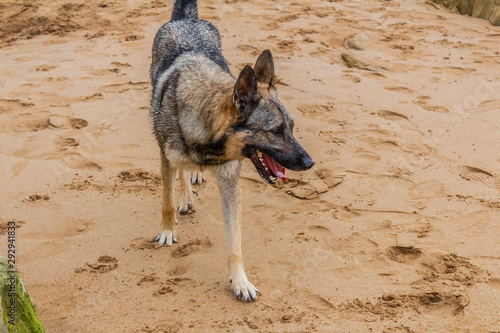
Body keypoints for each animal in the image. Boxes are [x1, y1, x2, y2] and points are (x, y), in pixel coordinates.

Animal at [148, 0, 314, 300]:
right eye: (275, 131)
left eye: (292, 128)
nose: (310, 163)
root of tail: (185, 19)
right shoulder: (166, 158)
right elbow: (166, 200)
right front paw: (167, 230)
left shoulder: (230, 184)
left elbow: (235, 242)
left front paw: (240, 281)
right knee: (180, 172)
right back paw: (185, 194)